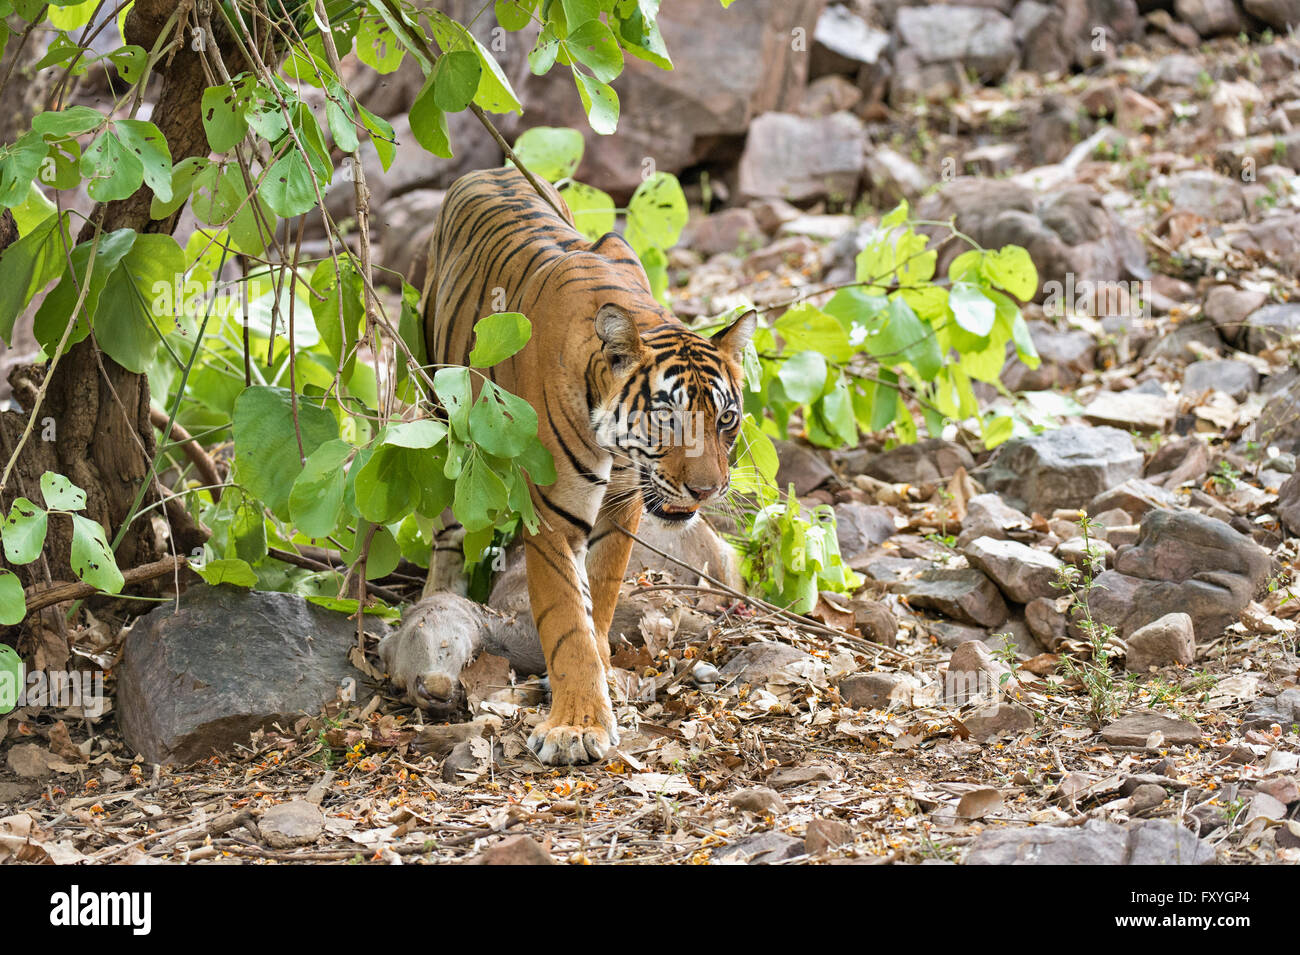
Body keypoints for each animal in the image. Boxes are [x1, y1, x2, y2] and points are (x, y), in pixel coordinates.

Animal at [421, 162, 759, 764]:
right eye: (667, 418)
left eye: (725, 420)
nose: (707, 491)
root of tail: (491, 167)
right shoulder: (553, 516)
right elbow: (566, 619)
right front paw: (575, 726)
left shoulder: (623, 506)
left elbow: (599, 596)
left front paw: (599, 677)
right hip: (435, 401)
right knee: (446, 525)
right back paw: (438, 588)